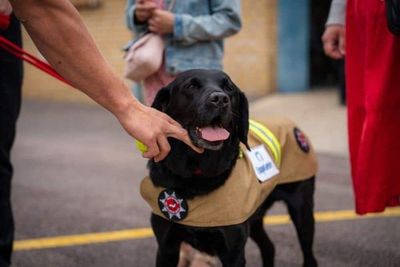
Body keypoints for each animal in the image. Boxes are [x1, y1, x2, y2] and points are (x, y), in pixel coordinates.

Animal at [142, 69, 318, 267]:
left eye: (229, 88)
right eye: (191, 86)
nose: (220, 99)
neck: (195, 176)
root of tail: (290, 122)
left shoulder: (233, 253)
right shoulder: (167, 247)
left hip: (302, 212)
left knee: (309, 256)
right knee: (269, 246)